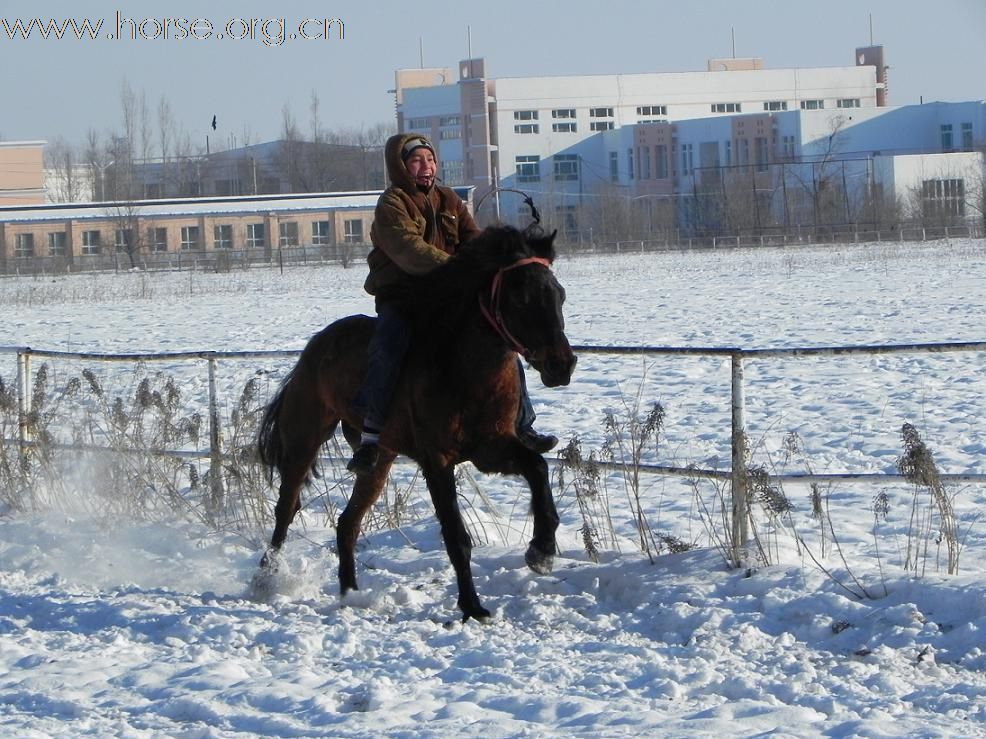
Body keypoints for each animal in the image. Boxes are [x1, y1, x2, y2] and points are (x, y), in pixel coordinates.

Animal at [256, 224, 576, 620]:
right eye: (520, 298)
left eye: (559, 294)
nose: (562, 365)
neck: (463, 366)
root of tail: (316, 345)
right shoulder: (437, 460)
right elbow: (456, 535)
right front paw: (472, 606)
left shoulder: (491, 449)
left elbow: (537, 467)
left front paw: (542, 549)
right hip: (304, 439)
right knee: (285, 509)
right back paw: (267, 578)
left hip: (379, 460)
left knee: (347, 523)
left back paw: (350, 593)